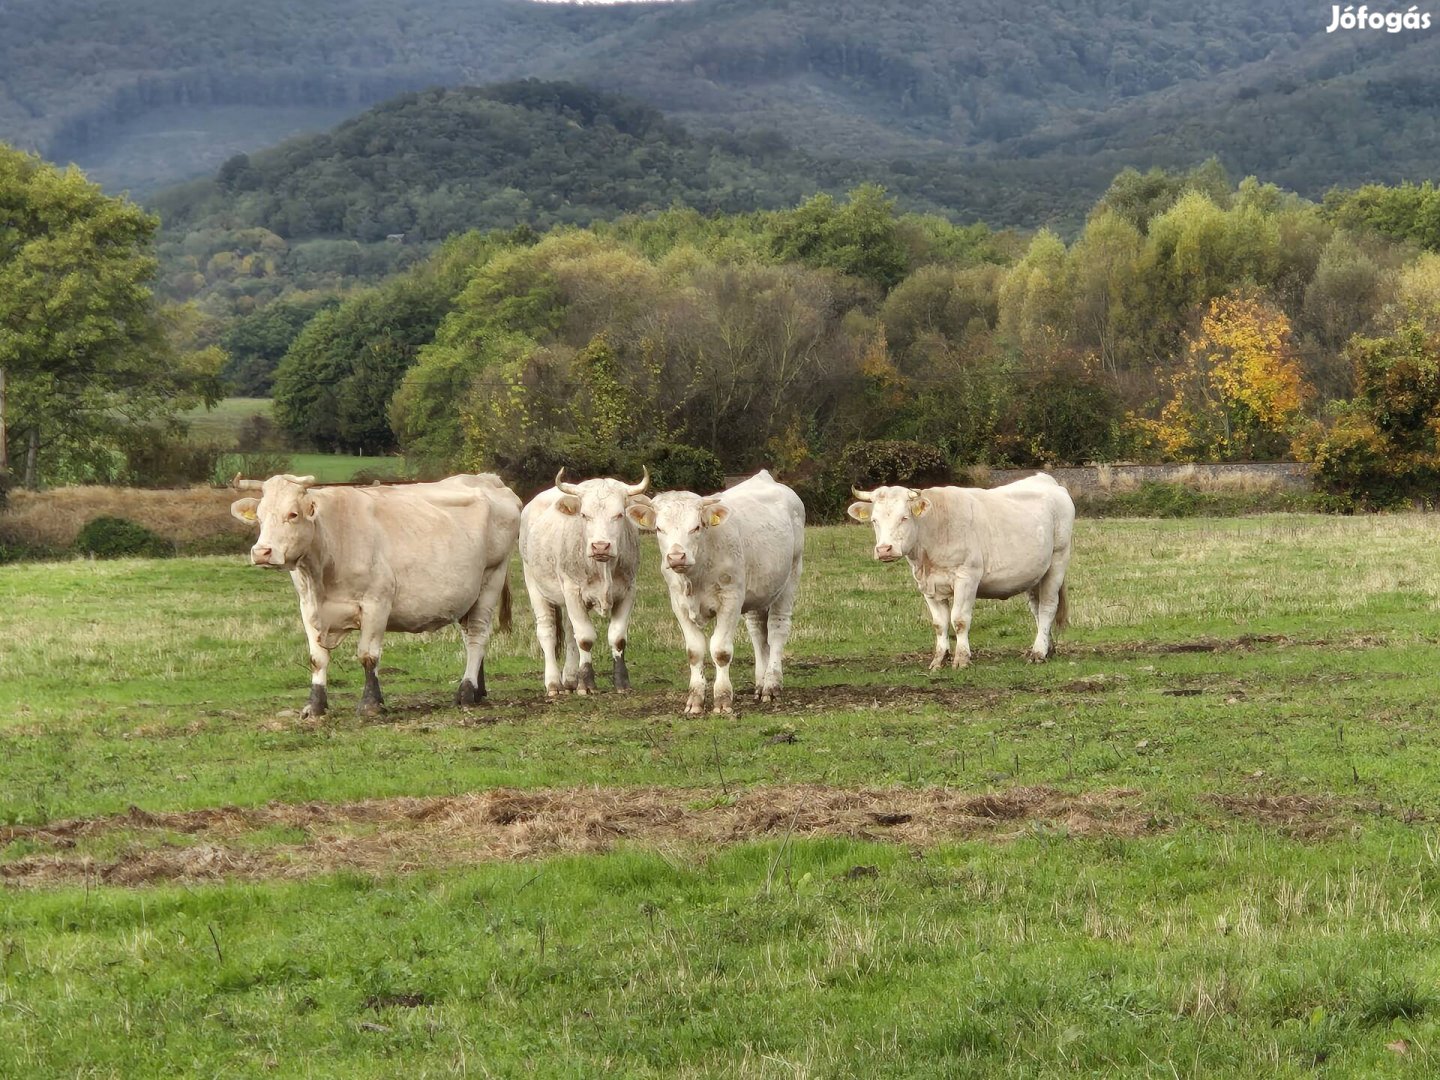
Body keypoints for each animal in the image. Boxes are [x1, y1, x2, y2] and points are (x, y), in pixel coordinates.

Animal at [233, 475, 527, 720]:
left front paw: (371, 704)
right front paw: (315, 705)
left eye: (292, 514)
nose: (261, 552)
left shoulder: (377, 603)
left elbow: (368, 656)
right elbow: (317, 658)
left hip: (491, 578)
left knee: (477, 637)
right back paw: (478, 691)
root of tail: (487, 478)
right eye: (259, 516)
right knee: (470, 637)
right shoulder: (308, 606)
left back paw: (466, 692)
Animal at [521, 469, 650, 696]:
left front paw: (621, 682)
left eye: (619, 514)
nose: (600, 546)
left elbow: (617, 637)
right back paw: (553, 683)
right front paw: (587, 683)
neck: (603, 568)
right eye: (584, 515)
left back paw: (571, 679)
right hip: (535, 586)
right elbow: (585, 638)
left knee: (569, 633)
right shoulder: (572, 590)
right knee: (547, 631)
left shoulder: (628, 590)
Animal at [633, 472, 812, 720]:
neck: (696, 574)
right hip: (758, 592)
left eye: (696, 527)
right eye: (659, 528)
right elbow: (694, 651)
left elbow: (720, 651)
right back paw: (760, 683)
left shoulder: (731, 600)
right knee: (758, 634)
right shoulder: (679, 604)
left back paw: (771, 686)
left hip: (790, 578)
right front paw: (695, 701)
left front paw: (723, 700)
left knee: (777, 630)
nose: (676, 557)